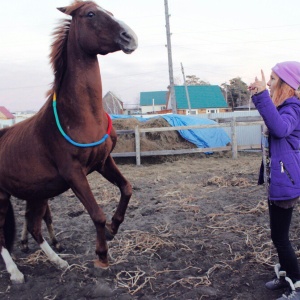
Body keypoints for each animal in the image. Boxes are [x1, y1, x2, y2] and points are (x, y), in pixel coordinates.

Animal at [0, 0, 137, 284]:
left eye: (111, 12)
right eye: (90, 14)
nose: (130, 37)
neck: (81, 116)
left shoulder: (103, 162)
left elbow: (126, 188)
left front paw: (113, 228)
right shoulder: (74, 173)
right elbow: (96, 214)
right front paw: (101, 256)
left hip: (36, 193)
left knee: (34, 226)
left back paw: (57, 261)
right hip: (2, 196)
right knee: (1, 235)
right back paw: (15, 273)